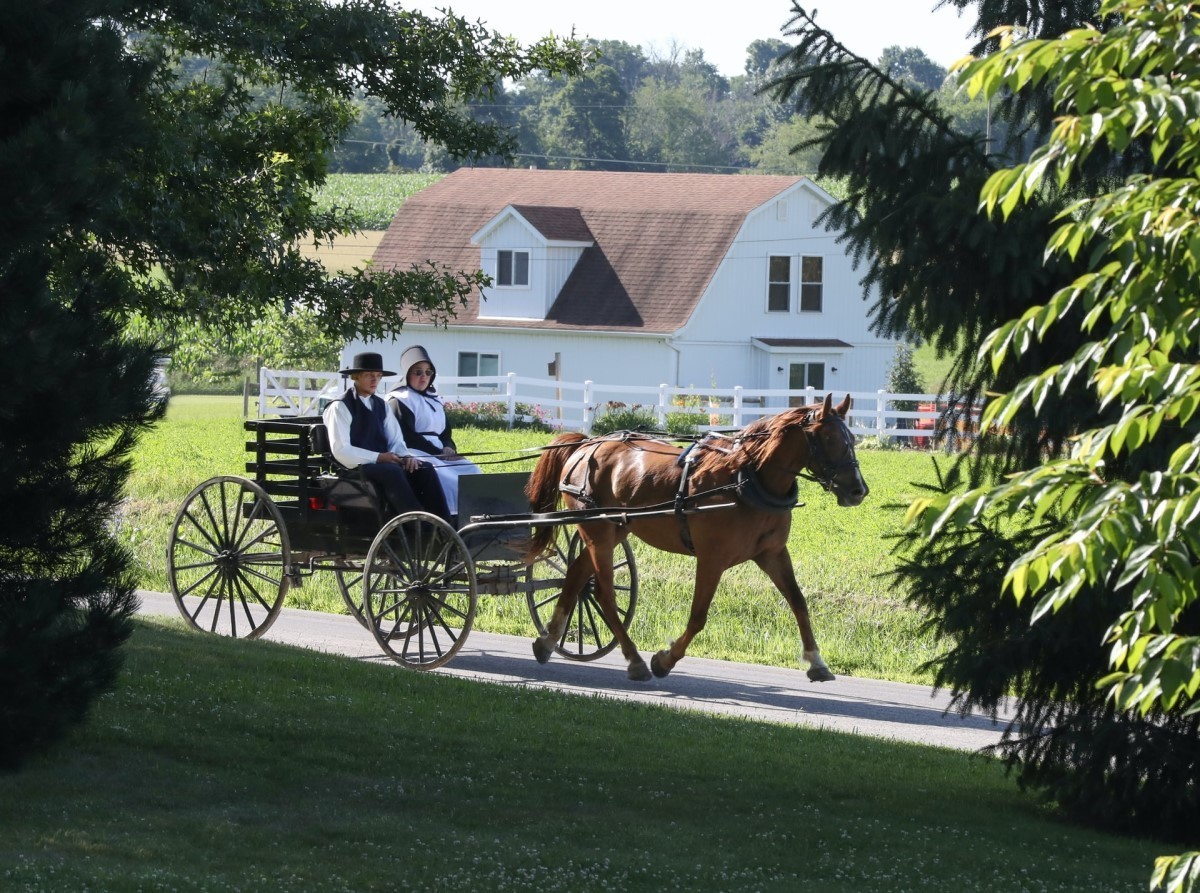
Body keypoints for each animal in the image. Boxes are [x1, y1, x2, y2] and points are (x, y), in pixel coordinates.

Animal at [525, 393, 873, 681]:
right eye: (828, 437)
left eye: (852, 438)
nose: (858, 490)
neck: (746, 477)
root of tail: (586, 444)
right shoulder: (711, 558)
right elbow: (698, 616)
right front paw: (665, 660)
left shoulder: (772, 553)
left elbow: (798, 602)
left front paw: (816, 661)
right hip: (597, 531)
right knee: (604, 593)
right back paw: (634, 659)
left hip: (613, 529)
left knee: (575, 576)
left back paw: (547, 641)